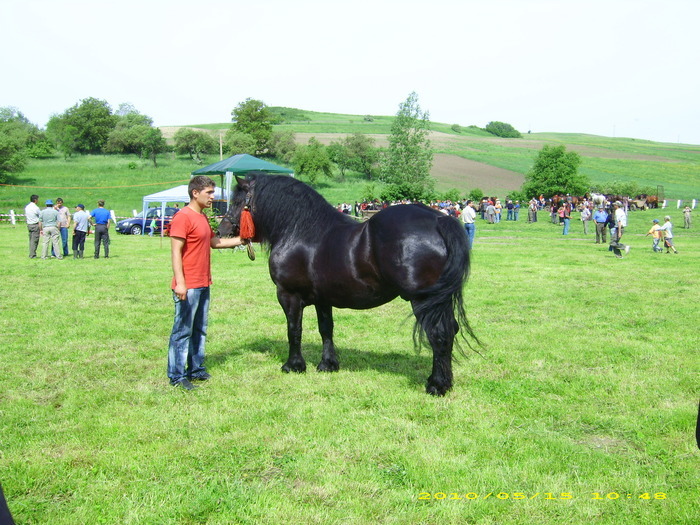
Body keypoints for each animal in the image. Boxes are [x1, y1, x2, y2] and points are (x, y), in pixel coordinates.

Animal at [221, 172, 478, 392]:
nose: (223, 229)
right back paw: (445, 382)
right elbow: (326, 329)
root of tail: (437, 219)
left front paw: (293, 366)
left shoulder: (288, 295)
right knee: (450, 331)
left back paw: (436, 385)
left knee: (439, 334)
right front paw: (327, 364)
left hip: (424, 300)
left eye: (237, 201)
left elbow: (294, 329)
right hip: (440, 300)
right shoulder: (322, 299)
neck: (299, 231)